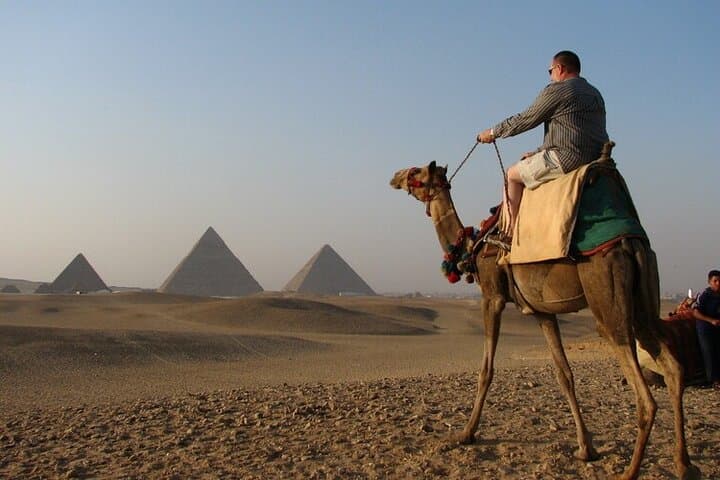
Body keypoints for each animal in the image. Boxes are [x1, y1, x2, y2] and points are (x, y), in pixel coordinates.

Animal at [389, 154, 698, 480]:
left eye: (416, 172)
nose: (394, 176)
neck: (473, 248)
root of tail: (631, 242)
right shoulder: (542, 311)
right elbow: (565, 375)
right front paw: (586, 448)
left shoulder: (492, 297)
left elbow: (486, 370)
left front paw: (466, 433)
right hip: (645, 299)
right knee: (673, 368)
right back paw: (683, 463)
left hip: (607, 300)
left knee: (645, 396)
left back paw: (630, 472)